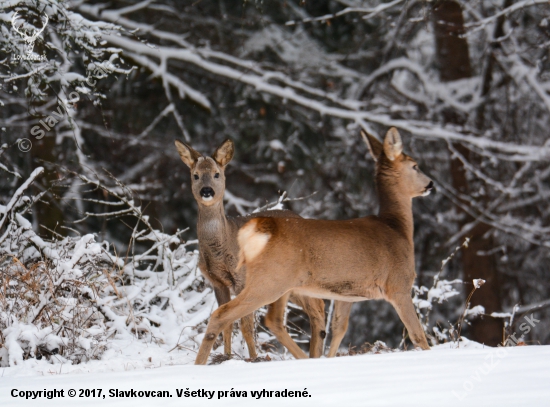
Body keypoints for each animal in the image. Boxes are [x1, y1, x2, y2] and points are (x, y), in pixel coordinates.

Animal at [177, 139, 330, 360]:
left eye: (217, 174)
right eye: (195, 175)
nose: (206, 191)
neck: (223, 246)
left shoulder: (243, 279)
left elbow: (246, 325)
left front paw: (253, 358)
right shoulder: (217, 282)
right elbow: (227, 322)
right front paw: (226, 356)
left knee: (318, 308)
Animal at [194, 129, 436, 364]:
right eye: (415, 166)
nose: (431, 184)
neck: (397, 228)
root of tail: (257, 228)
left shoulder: (347, 293)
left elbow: (339, 329)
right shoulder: (399, 284)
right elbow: (418, 336)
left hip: (280, 284)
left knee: (273, 319)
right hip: (270, 280)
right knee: (224, 314)